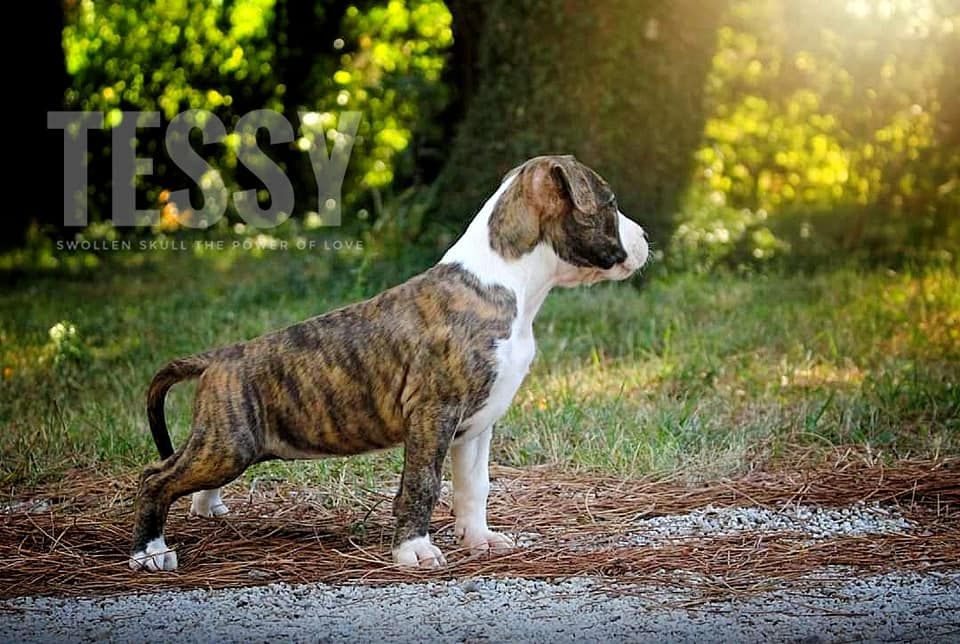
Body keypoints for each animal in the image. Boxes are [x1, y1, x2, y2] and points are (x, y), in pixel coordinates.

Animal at [130, 155, 649, 571]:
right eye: (609, 202)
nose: (645, 236)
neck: (506, 281)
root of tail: (217, 358)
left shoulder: (475, 426)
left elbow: (474, 487)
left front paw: (479, 540)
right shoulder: (433, 414)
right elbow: (421, 484)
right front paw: (413, 550)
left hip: (223, 443)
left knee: (179, 469)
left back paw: (205, 506)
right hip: (229, 443)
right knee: (155, 479)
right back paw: (150, 552)